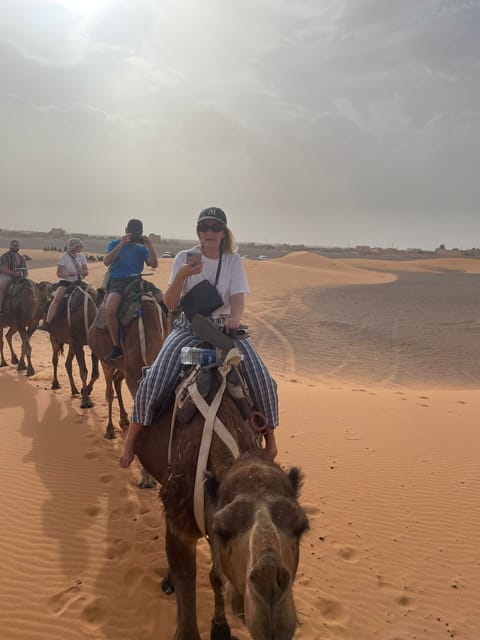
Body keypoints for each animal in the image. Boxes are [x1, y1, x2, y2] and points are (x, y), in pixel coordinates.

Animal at [135, 360, 310, 640]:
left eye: (301, 527)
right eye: (224, 527)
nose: (270, 584)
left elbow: (216, 576)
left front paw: (222, 627)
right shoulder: (185, 523)